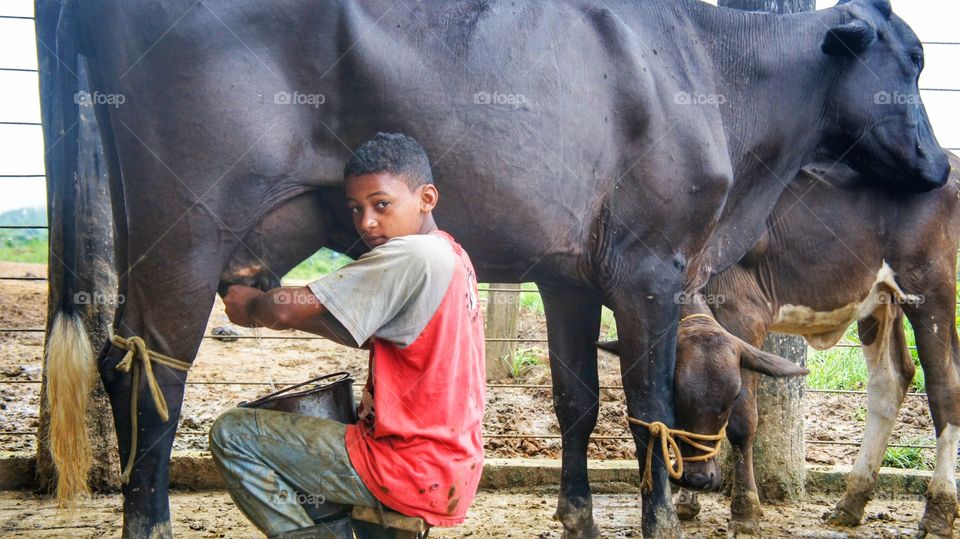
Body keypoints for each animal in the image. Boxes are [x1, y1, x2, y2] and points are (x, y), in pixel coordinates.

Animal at [601, 152, 960, 537]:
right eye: (675, 395)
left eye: (729, 400)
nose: (698, 479)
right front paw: (686, 501)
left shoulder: (744, 315)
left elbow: (744, 423)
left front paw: (746, 511)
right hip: (879, 300)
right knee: (890, 381)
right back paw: (851, 501)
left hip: (930, 289)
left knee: (943, 386)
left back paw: (938, 512)